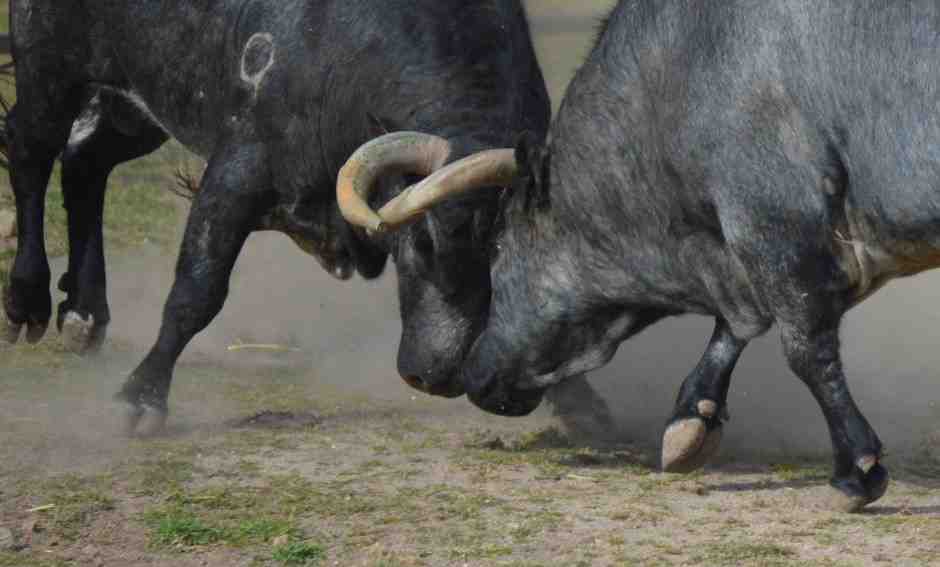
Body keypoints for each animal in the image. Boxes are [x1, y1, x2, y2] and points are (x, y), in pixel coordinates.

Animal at [1, 0, 615, 438]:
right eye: (422, 244)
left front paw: (580, 403)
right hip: (49, 64)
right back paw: (28, 301)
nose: (438, 377)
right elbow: (196, 292)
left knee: (85, 162)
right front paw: (140, 397)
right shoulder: (238, 171)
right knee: (31, 148)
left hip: (138, 100)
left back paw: (84, 312)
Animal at [337, 0, 940, 511]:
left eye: (498, 247)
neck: (682, 71)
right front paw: (690, 421)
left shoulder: (777, 226)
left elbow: (806, 351)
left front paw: (856, 470)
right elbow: (737, 326)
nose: (476, 373)